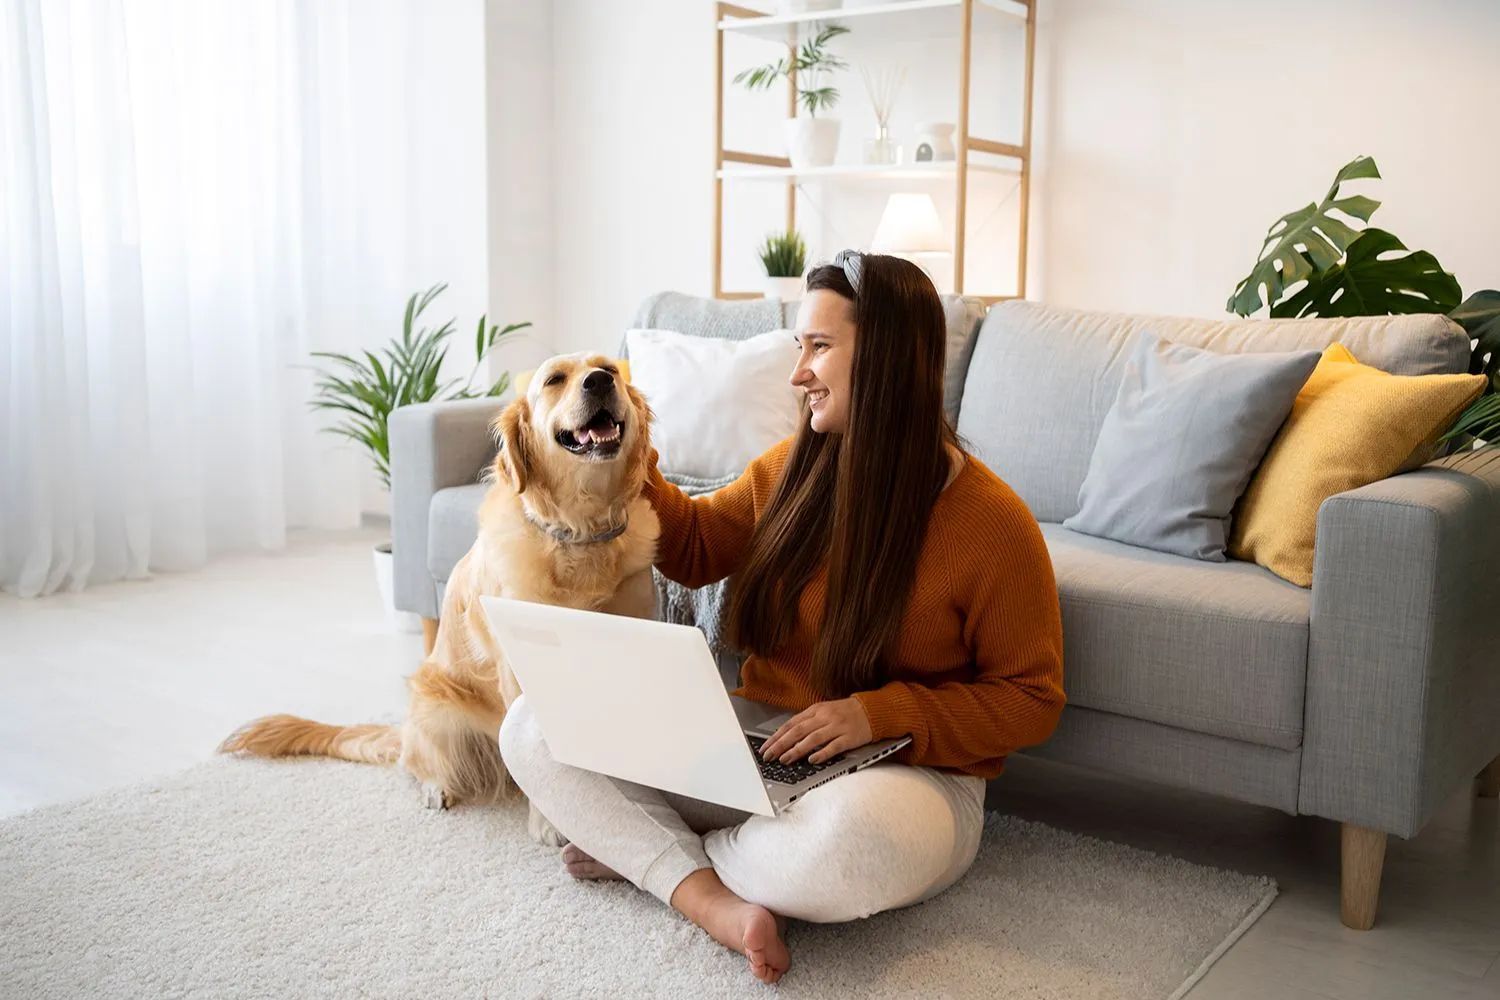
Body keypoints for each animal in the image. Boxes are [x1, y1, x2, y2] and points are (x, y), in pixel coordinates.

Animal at [220, 353, 663, 845]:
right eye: (554, 380)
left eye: (611, 369)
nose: (600, 381)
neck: (581, 532)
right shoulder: (519, 669)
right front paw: (550, 822)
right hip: (441, 712)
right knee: (418, 762)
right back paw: (436, 788)